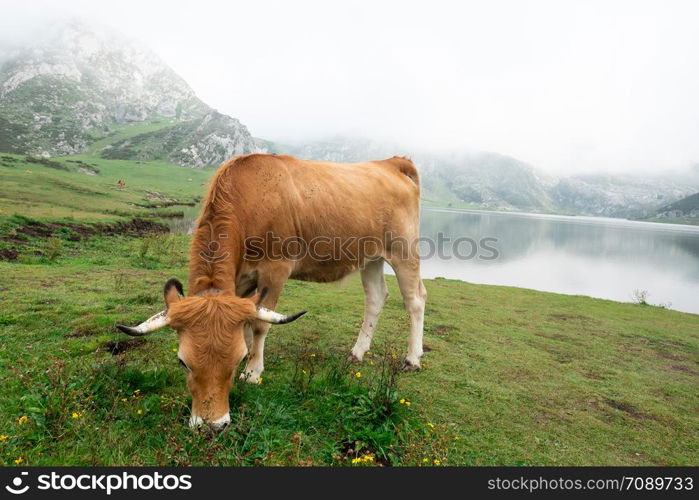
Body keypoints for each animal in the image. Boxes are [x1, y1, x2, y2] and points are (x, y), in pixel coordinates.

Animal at [118, 153, 426, 430]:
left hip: (403, 249)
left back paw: (412, 359)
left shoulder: (276, 269)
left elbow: (260, 324)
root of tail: (391, 162)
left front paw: (252, 371)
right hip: (370, 256)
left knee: (415, 299)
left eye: (234, 362)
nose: (211, 425)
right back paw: (357, 352)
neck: (250, 199)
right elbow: (246, 323)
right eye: (183, 362)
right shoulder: (240, 281)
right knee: (375, 297)